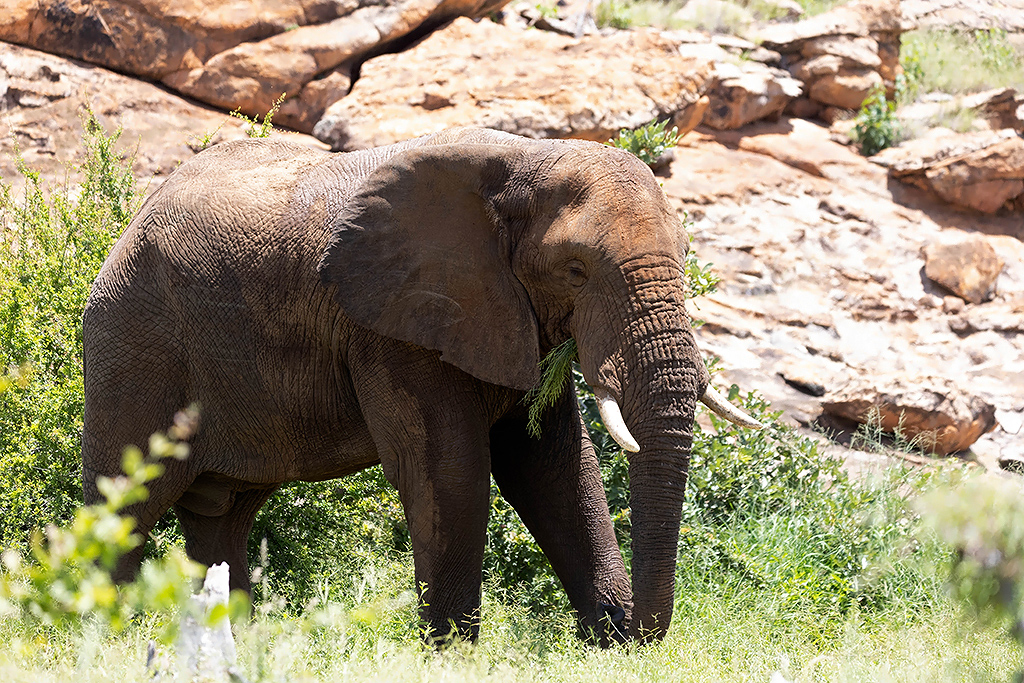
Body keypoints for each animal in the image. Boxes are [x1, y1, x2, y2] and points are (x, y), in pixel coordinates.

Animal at [81, 126, 760, 645]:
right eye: (575, 270)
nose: (636, 631)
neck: (527, 157)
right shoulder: (390, 326)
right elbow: (452, 469)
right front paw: (453, 652)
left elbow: (556, 467)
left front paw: (608, 645)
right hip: (132, 342)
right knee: (126, 501)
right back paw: (99, 631)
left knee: (223, 514)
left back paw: (239, 639)